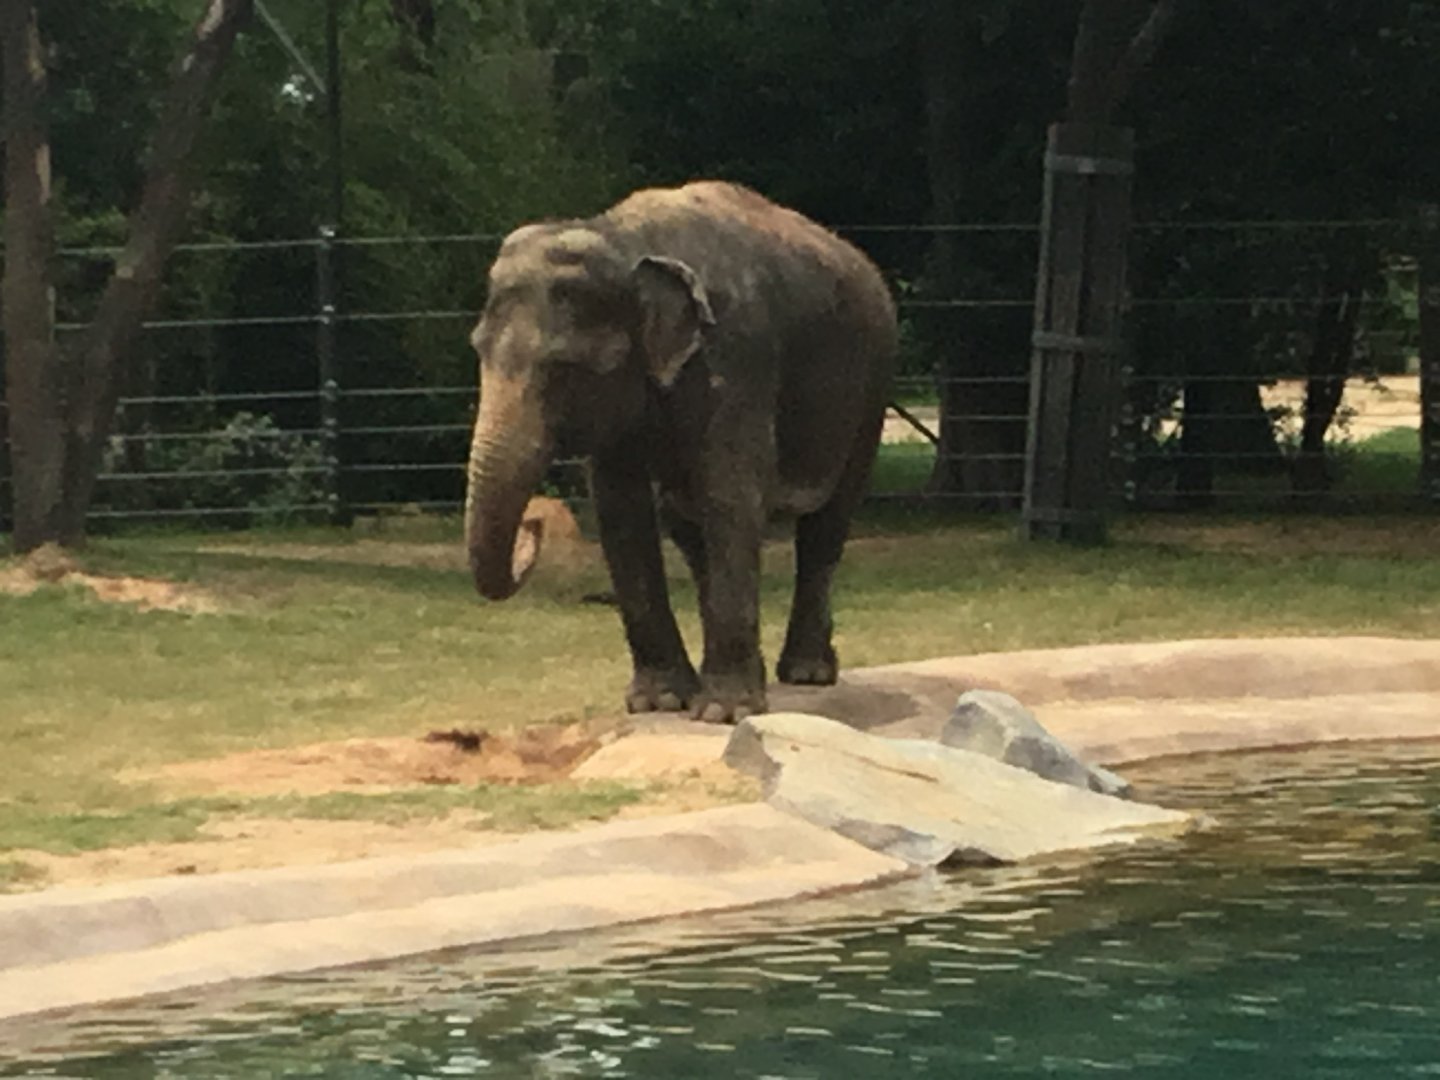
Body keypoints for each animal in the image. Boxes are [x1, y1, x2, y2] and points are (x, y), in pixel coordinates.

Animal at [464, 181, 897, 723]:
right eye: (478, 349)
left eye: (563, 368)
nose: (533, 523)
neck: (622, 239)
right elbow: (621, 511)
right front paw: (661, 702)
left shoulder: (738, 356)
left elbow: (732, 496)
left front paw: (725, 713)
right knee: (690, 530)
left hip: (872, 386)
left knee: (827, 525)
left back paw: (806, 673)